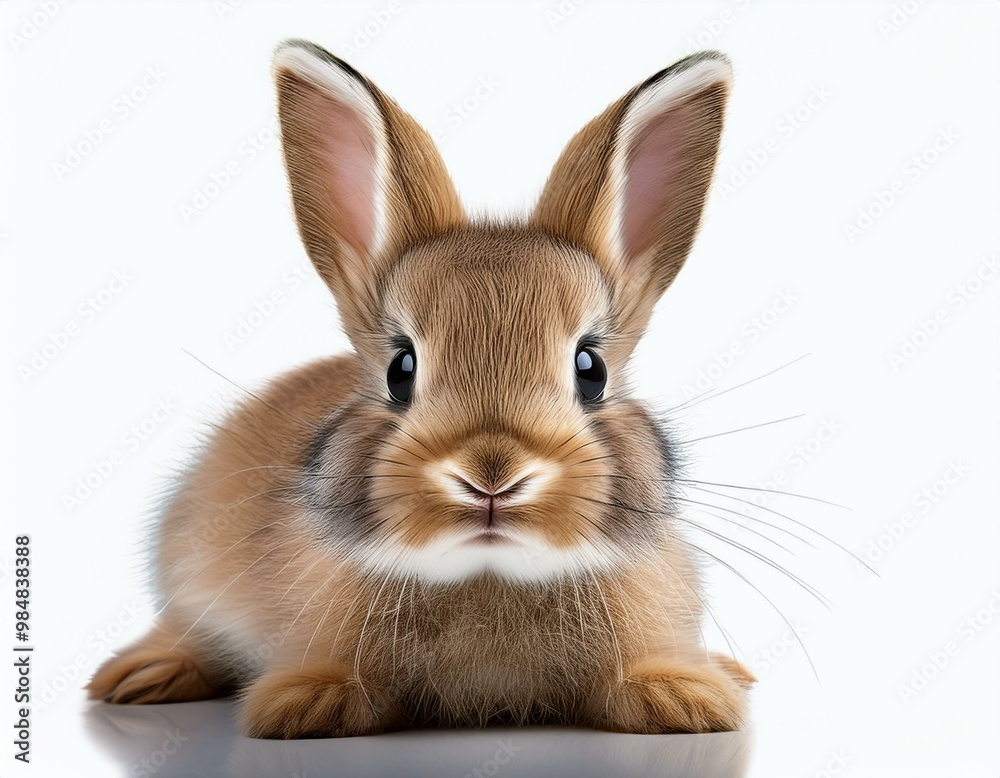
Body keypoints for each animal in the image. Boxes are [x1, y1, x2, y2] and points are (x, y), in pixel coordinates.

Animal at [87, 39, 755, 739]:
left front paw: (684, 698)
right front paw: (306, 705)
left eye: (590, 369)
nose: (492, 476)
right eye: (400, 369)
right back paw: (140, 676)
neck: (490, 577)